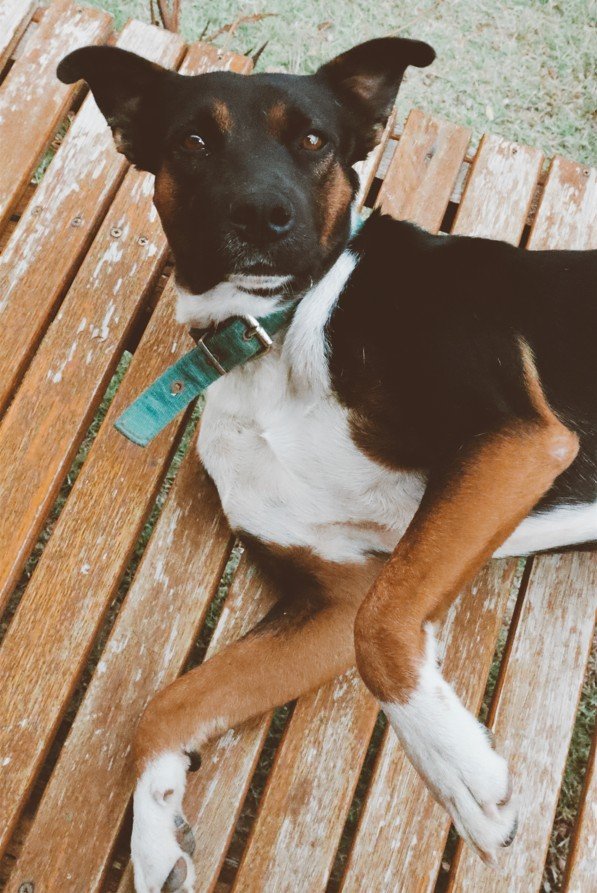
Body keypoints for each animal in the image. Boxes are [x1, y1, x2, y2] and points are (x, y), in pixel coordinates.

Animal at [57, 36, 596, 892]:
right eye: (192, 141)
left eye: (313, 140)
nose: (261, 217)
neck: (274, 331)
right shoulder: (333, 596)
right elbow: (169, 704)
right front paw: (152, 829)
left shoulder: (519, 435)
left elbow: (384, 624)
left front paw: (459, 772)